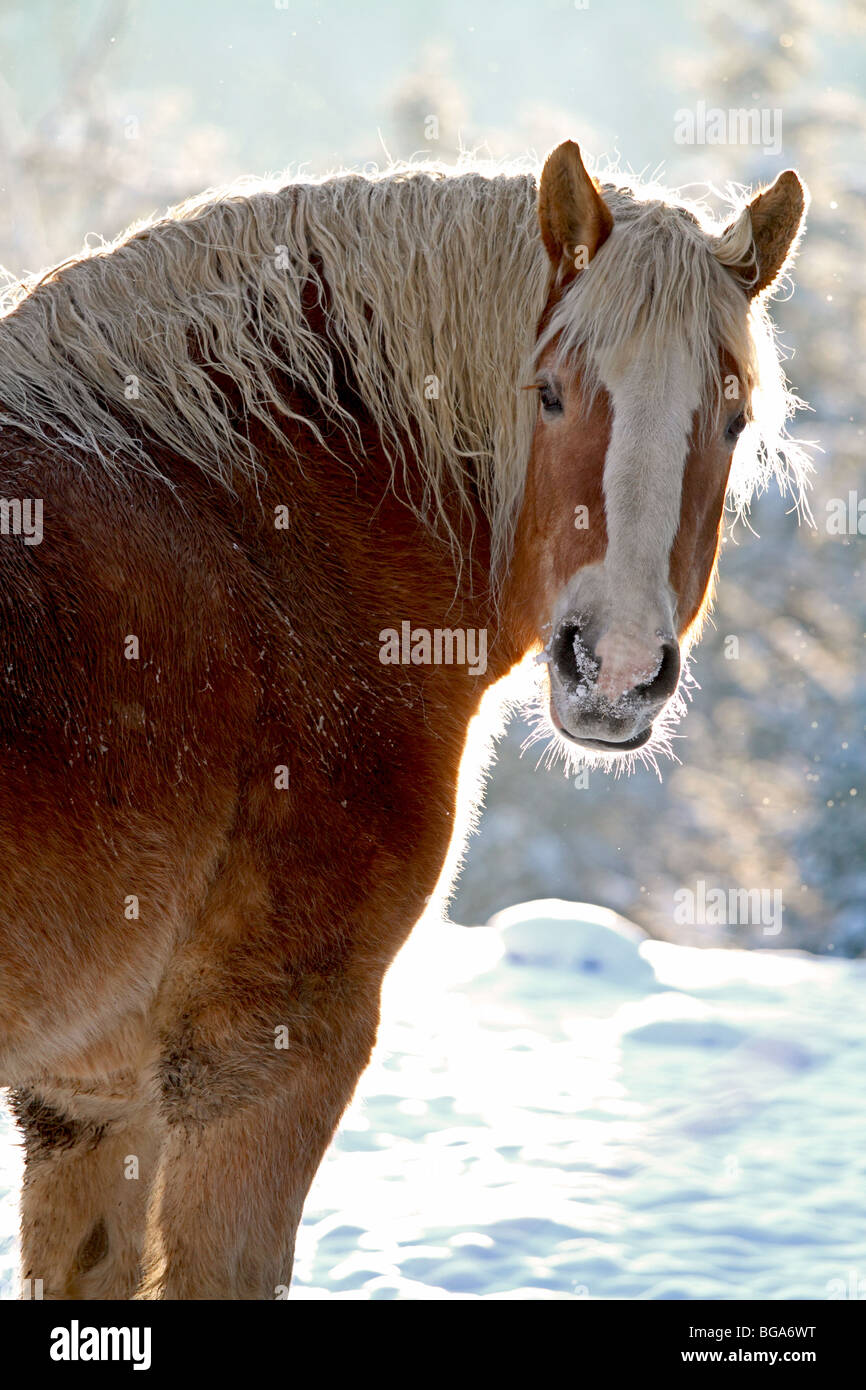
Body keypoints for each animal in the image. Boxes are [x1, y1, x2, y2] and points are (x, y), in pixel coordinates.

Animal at [0, 139, 807, 1299]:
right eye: (549, 393)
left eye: (733, 417)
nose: (613, 668)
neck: (250, 533)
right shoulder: (265, 1054)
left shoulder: (90, 1100)